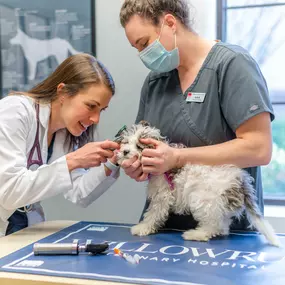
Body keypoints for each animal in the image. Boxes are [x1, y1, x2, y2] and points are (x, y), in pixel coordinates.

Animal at [116, 121, 280, 245]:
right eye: (126, 142)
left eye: (139, 146)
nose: (125, 151)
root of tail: (240, 182)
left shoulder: (162, 196)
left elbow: (153, 213)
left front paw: (143, 227)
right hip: (218, 205)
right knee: (222, 225)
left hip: (204, 200)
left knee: (214, 226)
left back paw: (196, 234)